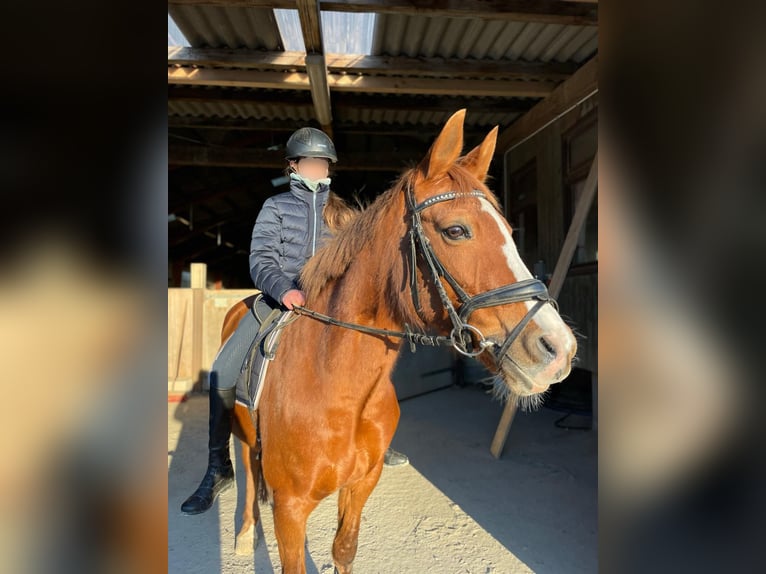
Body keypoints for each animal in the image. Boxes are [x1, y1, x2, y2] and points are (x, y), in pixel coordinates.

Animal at [222, 109, 577, 573]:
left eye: (509, 229)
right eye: (456, 230)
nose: (558, 350)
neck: (337, 388)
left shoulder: (360, 485)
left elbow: (344, 549)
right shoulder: (290, 508)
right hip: (242, 435)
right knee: (248, 472)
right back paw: (245, 535)